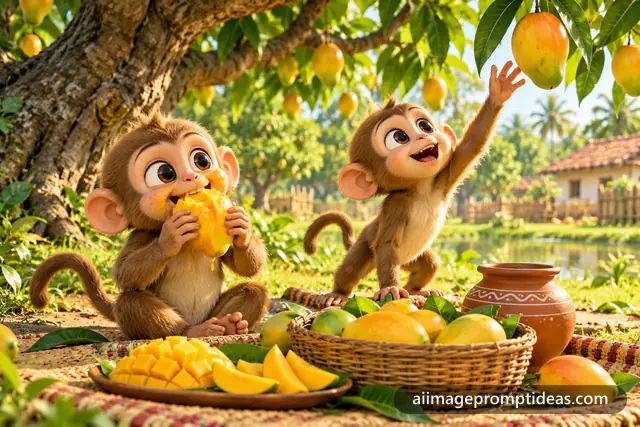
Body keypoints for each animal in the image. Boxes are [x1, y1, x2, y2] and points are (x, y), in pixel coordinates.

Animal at [29, 113, 269, 340]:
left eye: (202, 160)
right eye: (165, 173)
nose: (191, 177)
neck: (190, 246)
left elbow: (247, 267)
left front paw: (242, 227)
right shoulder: (142, 235)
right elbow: (125, 272)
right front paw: (170, 237)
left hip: (214, 311)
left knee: (254, 291)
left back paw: (230, 324)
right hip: (155, 315)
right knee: (131, 303)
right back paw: (196, 331)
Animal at [304, 62, 525, 306]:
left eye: (425, 126)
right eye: (399, 137)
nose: (422, 137)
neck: (422, 189)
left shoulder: (444, 179)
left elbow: (472, 145)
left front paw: (498, 91)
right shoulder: (396, 205)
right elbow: (387, 243)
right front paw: (390, 288)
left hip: (409, 259)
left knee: (431, 263)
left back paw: (418, 291)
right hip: (366, 249)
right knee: (351, 269)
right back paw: (338, 293)